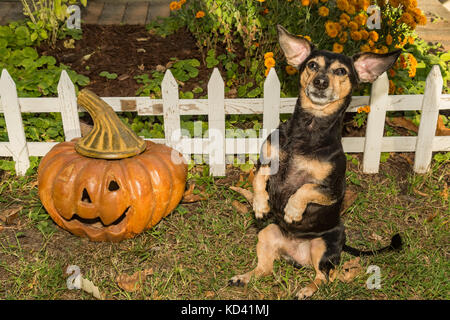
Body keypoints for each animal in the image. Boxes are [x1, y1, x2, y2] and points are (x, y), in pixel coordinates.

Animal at [230, 25, 402, 300]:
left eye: (341, 71)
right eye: (312, 65)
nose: (320, 81)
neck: (308, 131)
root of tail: (295, 256)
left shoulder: (332, 190)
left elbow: (305, 188)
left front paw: (292, 210)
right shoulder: (266, 161)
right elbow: (258, 179)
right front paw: (260, 205)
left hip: (323, 246)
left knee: (325, 277)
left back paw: (306, 289)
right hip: (268, 233)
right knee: (265, 269)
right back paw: (244, 277)